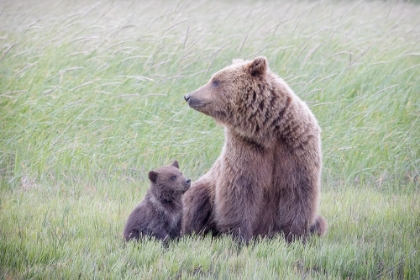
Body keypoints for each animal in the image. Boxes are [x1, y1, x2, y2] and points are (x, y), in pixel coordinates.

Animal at [182, 55, 326, 242]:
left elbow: (297, 192)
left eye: (215, 81)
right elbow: (240, 191)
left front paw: (295, 236)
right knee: (195, 200)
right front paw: (239, 236)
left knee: (319, 223)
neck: (268, 132)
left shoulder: (296, 147)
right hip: (206, 186)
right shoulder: (246, 148)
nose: (188, 96)